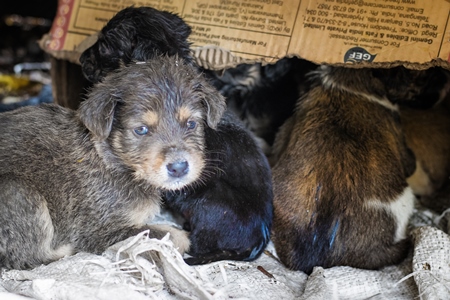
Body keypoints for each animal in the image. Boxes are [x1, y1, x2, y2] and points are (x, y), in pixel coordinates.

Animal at [0, 56, 225, 270]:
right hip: (19, 193)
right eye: (141, 129)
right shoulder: (99, 229)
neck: (110, 160)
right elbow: (169, 235)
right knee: (26, 256)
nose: (179, 167)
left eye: (191, 124)